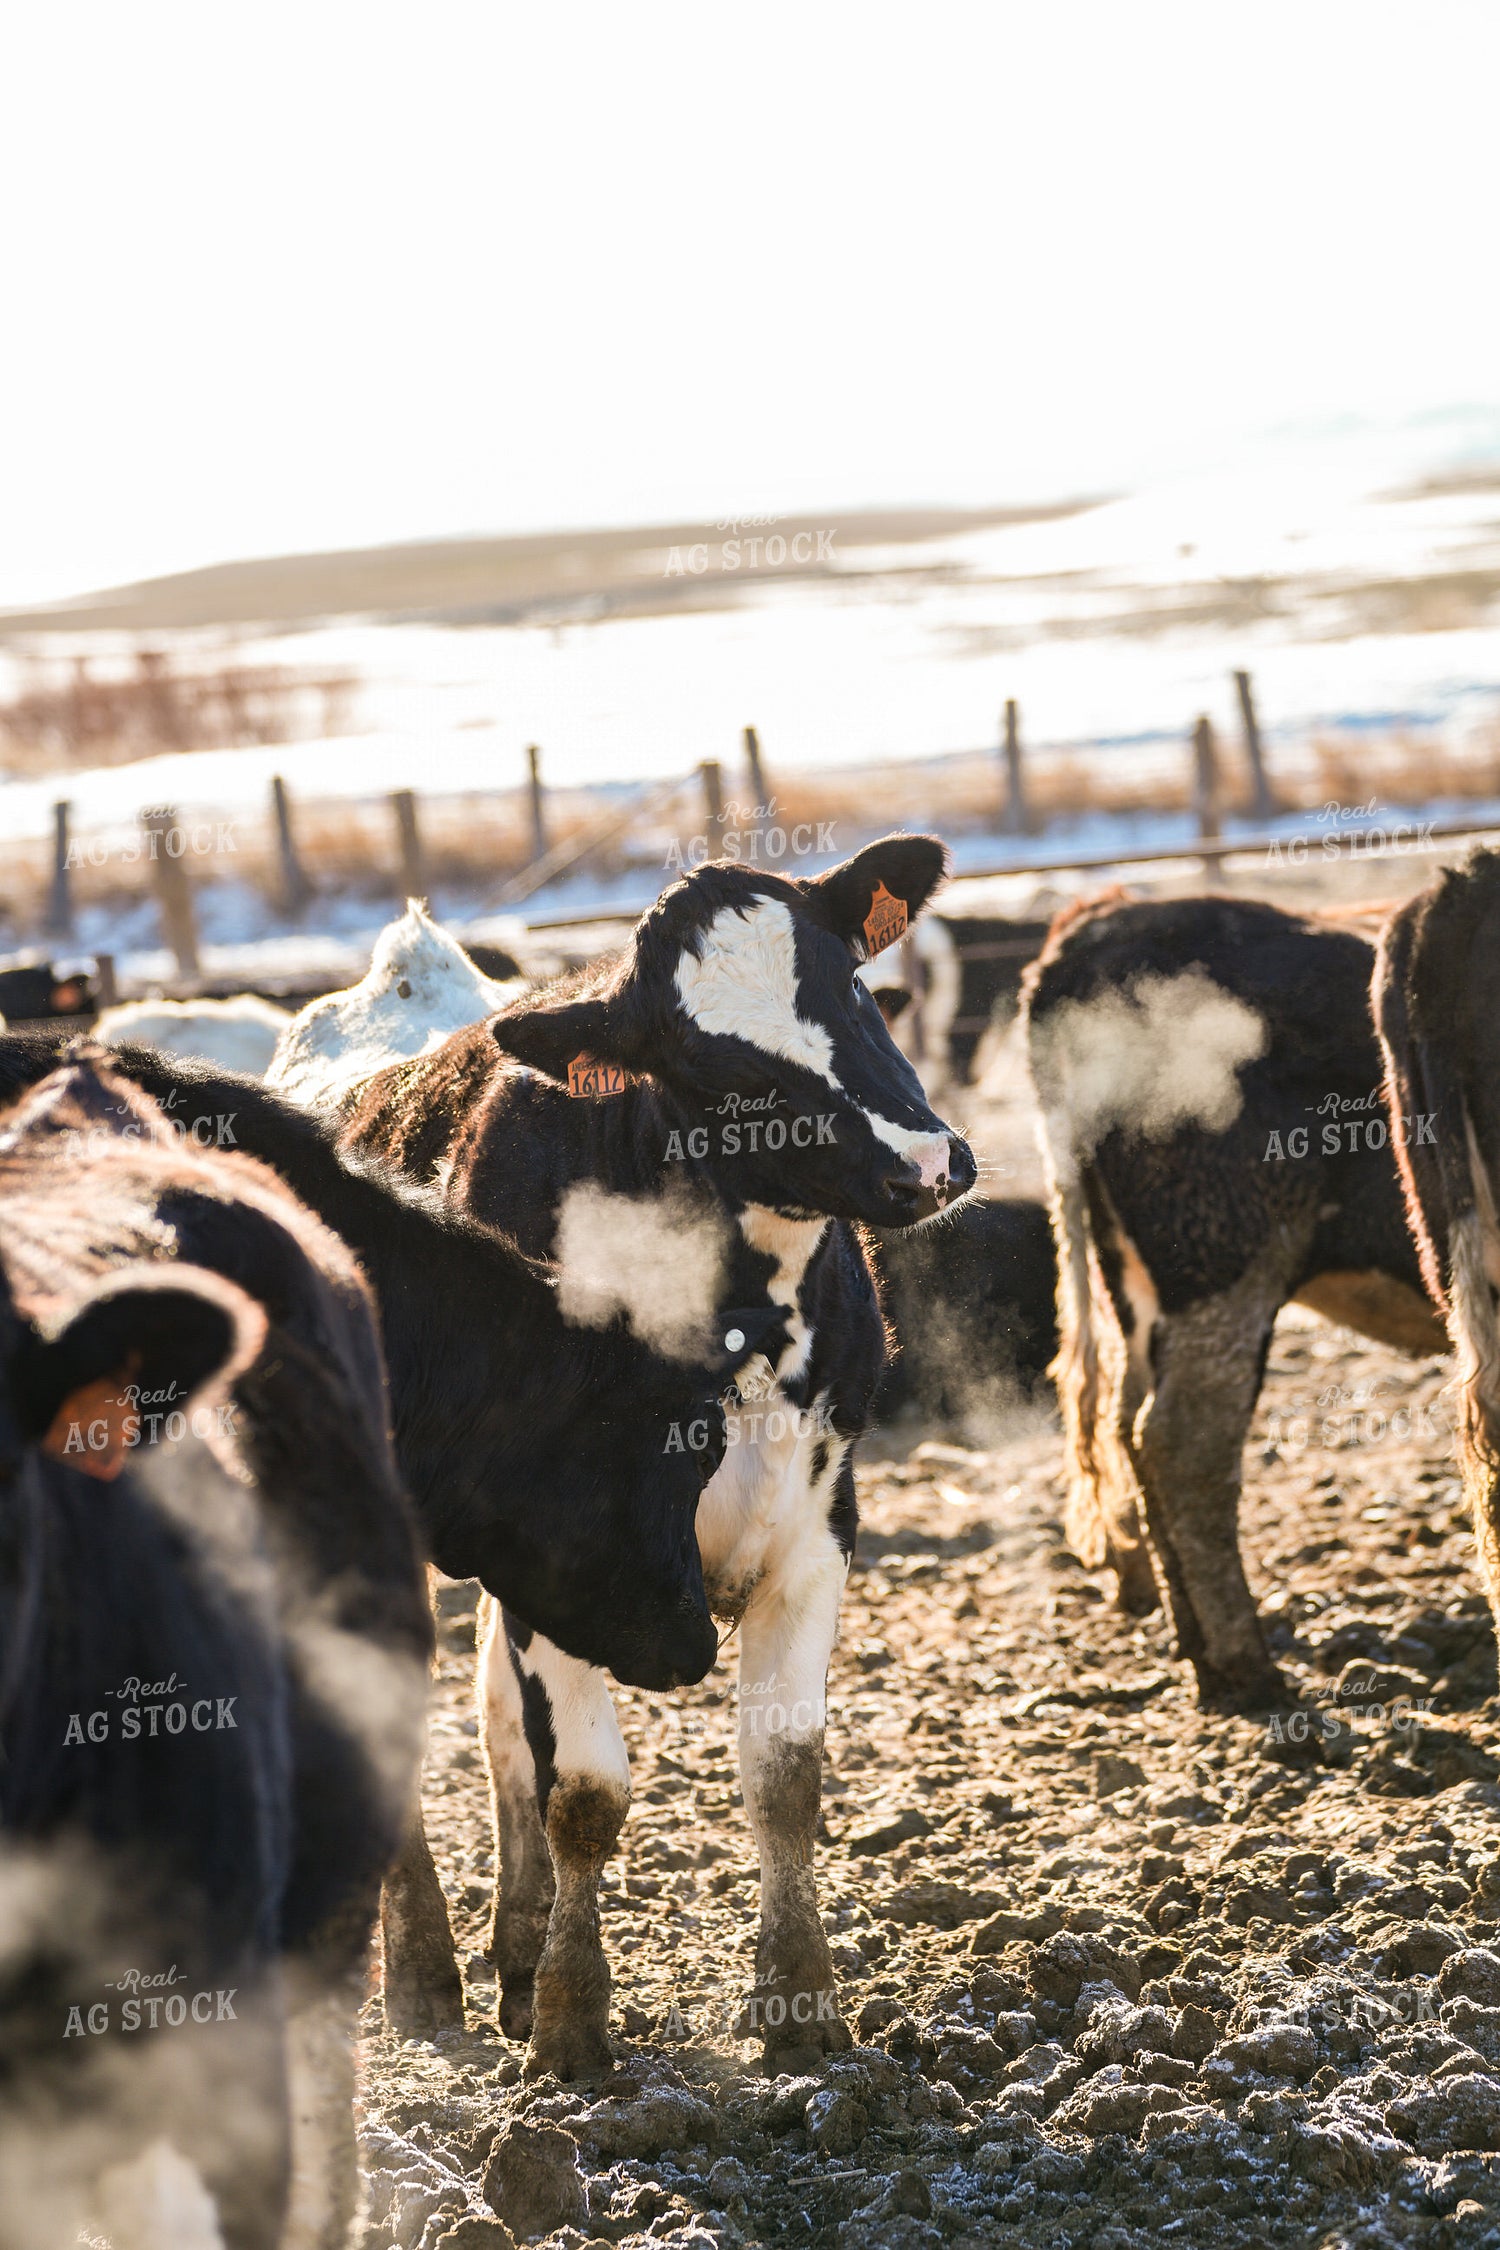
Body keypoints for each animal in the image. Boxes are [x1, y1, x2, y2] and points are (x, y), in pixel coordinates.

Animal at [336, 835, 977, 2079]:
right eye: (716, 1072)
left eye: (853, 986)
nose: (926, 1165)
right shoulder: (555, 1558)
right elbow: (586, 1792)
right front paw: (573, 2026)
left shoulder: (818, 1530)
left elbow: (783, 1778)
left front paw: (800, 2008)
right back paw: (428, 1977)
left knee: (497, 1724)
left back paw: (514, 1949)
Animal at [1024, 891, 1446, 1714]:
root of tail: (1104, 919)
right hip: (1223, 1255)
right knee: (1184, 1441)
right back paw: (1245, 1667)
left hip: (1141, 1285)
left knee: (1129, 1426)